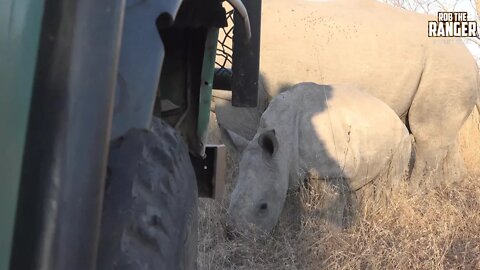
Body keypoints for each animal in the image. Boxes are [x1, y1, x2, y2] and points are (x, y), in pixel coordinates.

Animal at [227, 82, 410, 234]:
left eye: (263, 206)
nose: (235, 235)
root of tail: (396, 117)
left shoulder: (332, 172)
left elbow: (331, 208)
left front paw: (330, 236)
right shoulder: (288, 167)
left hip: (401, 140)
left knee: (388, 183)